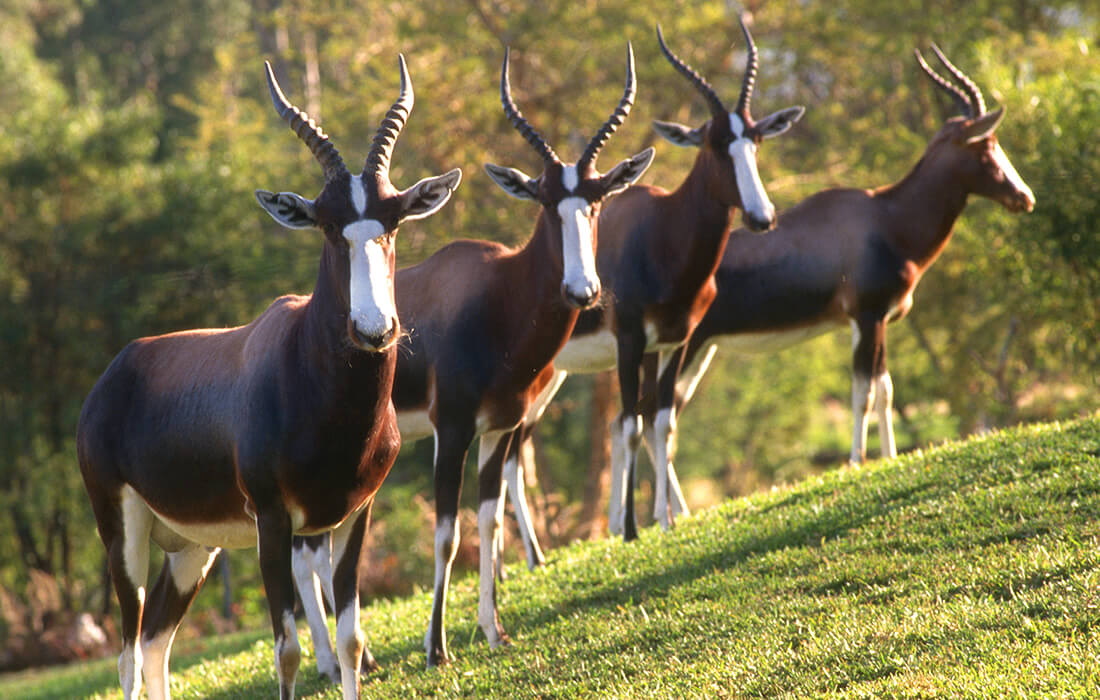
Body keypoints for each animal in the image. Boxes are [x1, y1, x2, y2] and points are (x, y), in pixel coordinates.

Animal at [74, 56, 459, 700]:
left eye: (393, 221)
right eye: (327, 225)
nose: (374, 329)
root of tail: (113, 375)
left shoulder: (353, 516)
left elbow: (351, 642)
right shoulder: (274, 524)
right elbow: (287, 649)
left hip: (192, 549)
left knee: (154, 645)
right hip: (122, 533)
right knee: (127, 652)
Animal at [642, 45, 1034, 493]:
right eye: (986, 145)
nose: (1024, 197)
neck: (885, 217)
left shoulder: (877, 322)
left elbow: (885, 388)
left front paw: (890, 457)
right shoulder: (866, 316)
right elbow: (863, 392)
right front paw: (856, 462)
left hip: (698, 350)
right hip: (684, 349)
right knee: (652, 420)